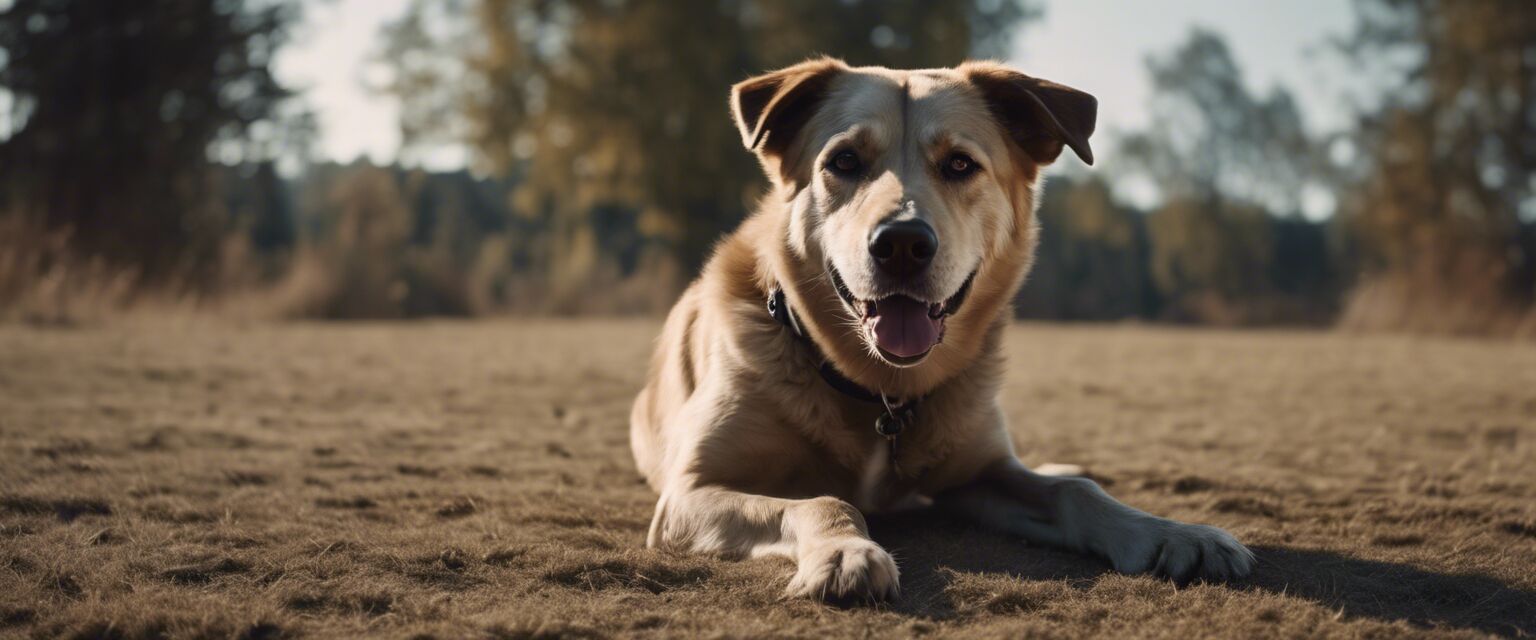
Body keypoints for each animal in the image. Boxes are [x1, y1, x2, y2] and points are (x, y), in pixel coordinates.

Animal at [629, 56, 1253, 598]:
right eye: (844, 161)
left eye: (959, 164)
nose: (902, 244)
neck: (881, 390)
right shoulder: (689, 495)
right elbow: (822, 501)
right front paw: (845, 552)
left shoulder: (977, 476)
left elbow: (1077, 493)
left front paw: (1175, 533)